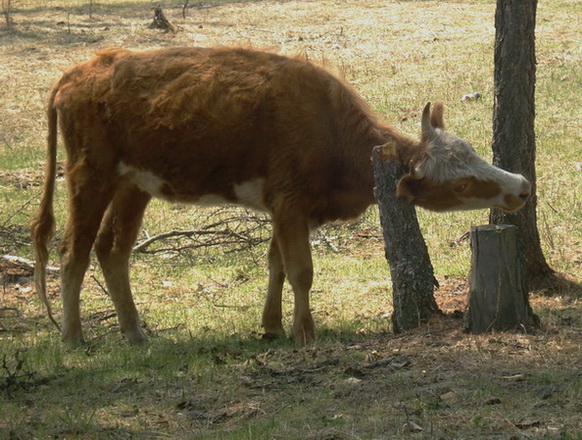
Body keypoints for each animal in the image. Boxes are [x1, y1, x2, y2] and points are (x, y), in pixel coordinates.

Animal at [32, 46, 532, 346]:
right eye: (460, 184)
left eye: (472, 151)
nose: (521, 187)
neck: (330, 128)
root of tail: (81, 70)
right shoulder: (290, 202)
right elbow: (301, 271)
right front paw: (304, 331)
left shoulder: (290, 209)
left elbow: (275, 265)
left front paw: (272, 326)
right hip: (90, 176)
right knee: (74, 250)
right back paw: (73, 338)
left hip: (134, 185)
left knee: (112, 250)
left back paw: (135, 333)